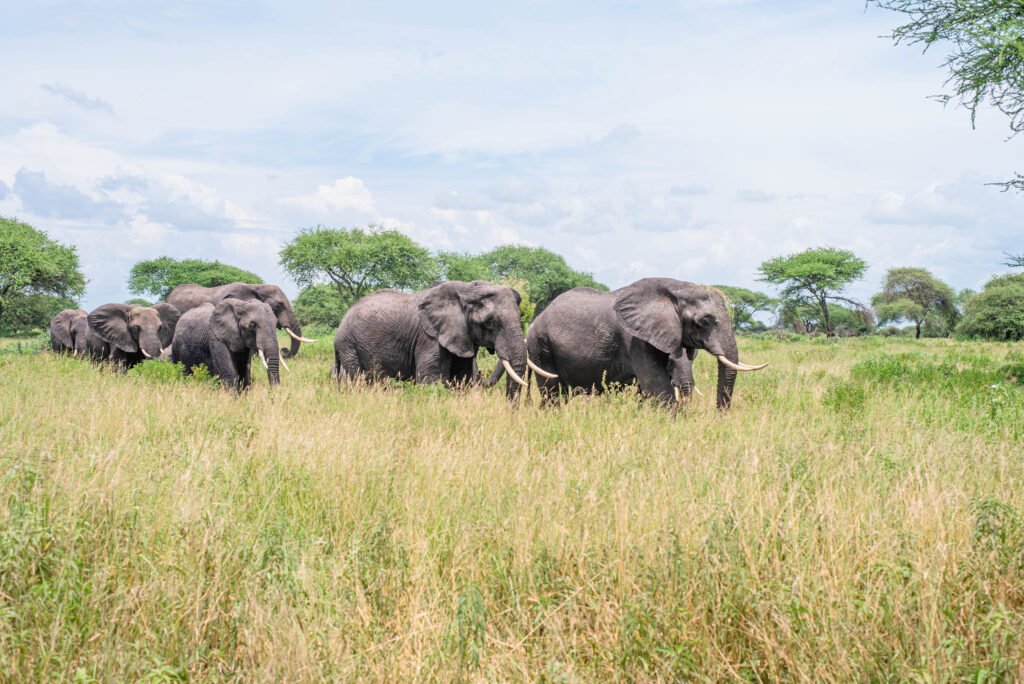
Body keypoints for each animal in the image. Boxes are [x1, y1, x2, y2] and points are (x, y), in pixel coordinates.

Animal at [333, 280, 530, 398]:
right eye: (489, 323)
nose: (512, 412)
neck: (467, 291)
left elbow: (463, 379)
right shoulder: (429, 338)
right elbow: (431, 380)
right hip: (349, 346)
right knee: (356, 380)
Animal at [525, 279, 767, 408]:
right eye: (705, 322)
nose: (718, 416)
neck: (675, 290)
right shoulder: (634, 339)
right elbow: (657, 385)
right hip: (541, 347)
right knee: (552, 392)